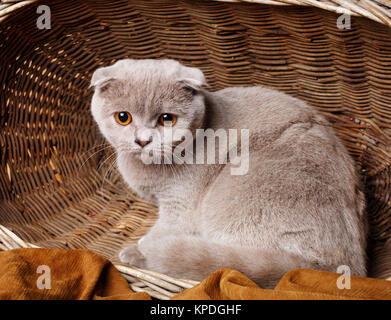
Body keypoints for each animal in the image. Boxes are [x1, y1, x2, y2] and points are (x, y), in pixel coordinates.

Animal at [90, 59, 370, 288]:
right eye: (123, 117)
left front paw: (137, 250)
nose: (142, 140)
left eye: (167, 119)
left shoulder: (180, 208)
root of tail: (330, 269)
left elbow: (166, 229)